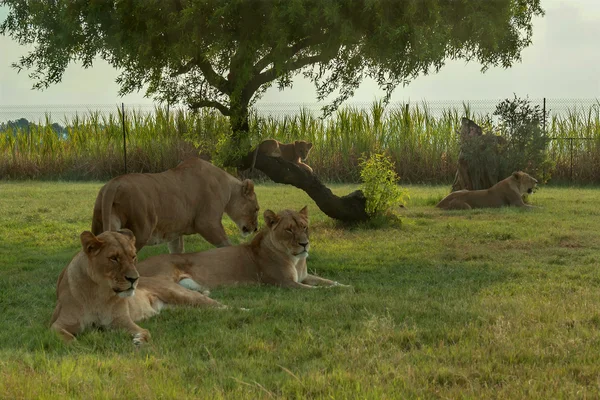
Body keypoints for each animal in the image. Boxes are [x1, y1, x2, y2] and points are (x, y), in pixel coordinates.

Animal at [49, 230, 223, 346]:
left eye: (133, 257)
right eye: (114, 258)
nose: (134, 279)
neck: (99, 294)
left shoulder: (122, 321)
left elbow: (145, 332)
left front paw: (140, 340)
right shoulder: (57, 325)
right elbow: (69, 339)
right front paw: (77, 346)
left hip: (184, 296)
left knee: (218, 305)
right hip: (184, 308)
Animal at [90, 157, 258, 253]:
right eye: (256, 209)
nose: (256, 229)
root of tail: (113, 184)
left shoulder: (174, 232)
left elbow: (177, 252)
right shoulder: (207, 223)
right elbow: (226, 244)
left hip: (102, 222)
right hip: (141, 230)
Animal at [137, 208, 346, 290]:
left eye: (304, 227)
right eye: (289, 230)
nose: (304, 244)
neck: (296, 260)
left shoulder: (305, 277)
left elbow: (330, 282)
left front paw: (347, 287)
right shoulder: (284, 283)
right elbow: (319, 290)